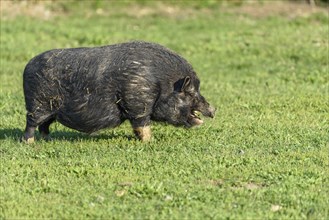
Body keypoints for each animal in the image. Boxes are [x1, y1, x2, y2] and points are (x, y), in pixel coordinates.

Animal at [21, 41, 215, 144]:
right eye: (189, 93)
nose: (214, 109)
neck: (161, 83)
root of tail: (27, 66)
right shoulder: (138, 104)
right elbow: (141, 125)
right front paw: (149, 141)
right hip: (38, 104)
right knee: (31, 123)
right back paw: (29, 142)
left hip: (51, 110)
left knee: (44, 125)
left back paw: (46, 140)